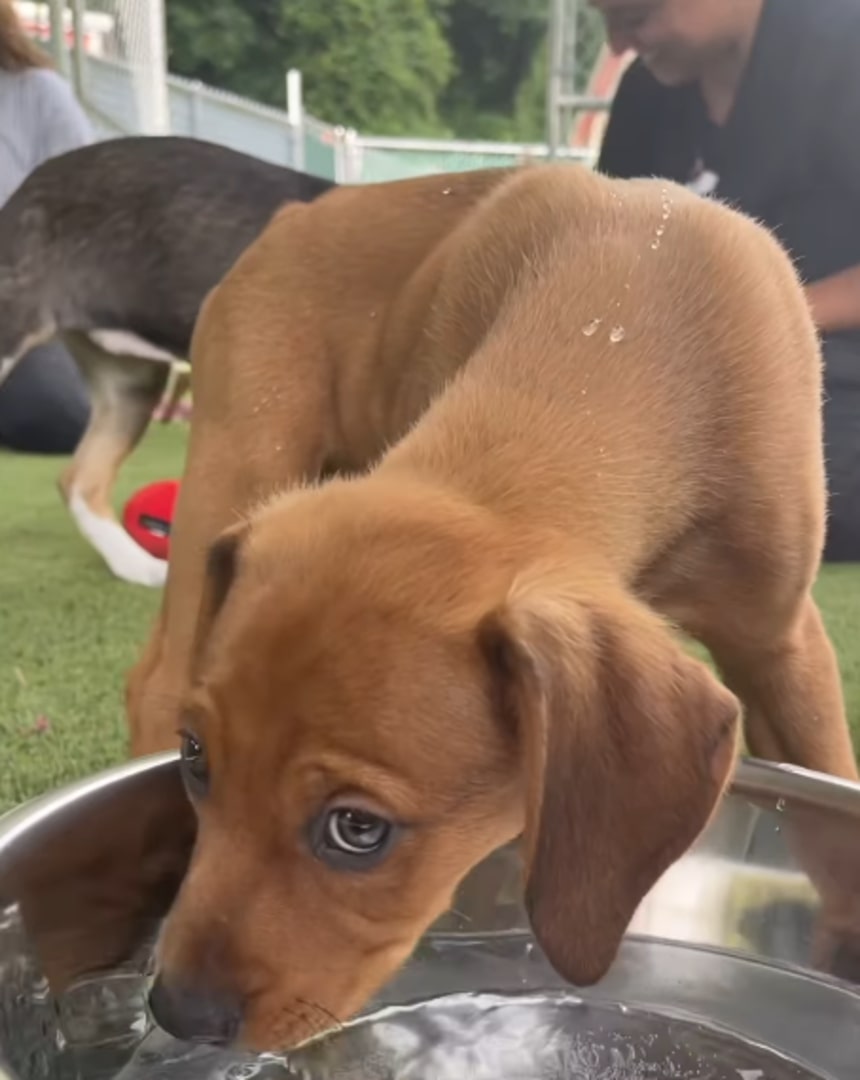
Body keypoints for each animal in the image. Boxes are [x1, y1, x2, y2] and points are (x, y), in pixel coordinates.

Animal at [148, 164, 851, 1049]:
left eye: (358, 831)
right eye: (195, 760)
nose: (175, 1013)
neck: (615, 322)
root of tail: (296, 213)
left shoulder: (784, 645)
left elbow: (830, 798)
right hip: (237, 454)